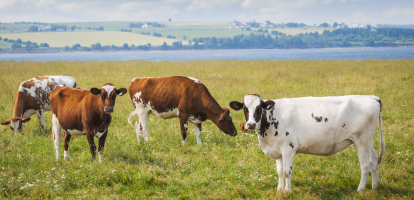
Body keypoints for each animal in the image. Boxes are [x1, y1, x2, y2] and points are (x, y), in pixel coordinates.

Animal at [230, 94, 384, 191]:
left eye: (259, 108)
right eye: (245, 109)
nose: (250, 124)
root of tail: (371, 97)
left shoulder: (289, 148)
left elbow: (286, 172)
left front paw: (287, 191)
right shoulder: (278, 150)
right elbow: (279, 172)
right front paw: (279, 190)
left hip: (361, 140)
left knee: (365, 166)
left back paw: (360, 189)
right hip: (367, 141)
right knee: (373, 161)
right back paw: (375, 186)